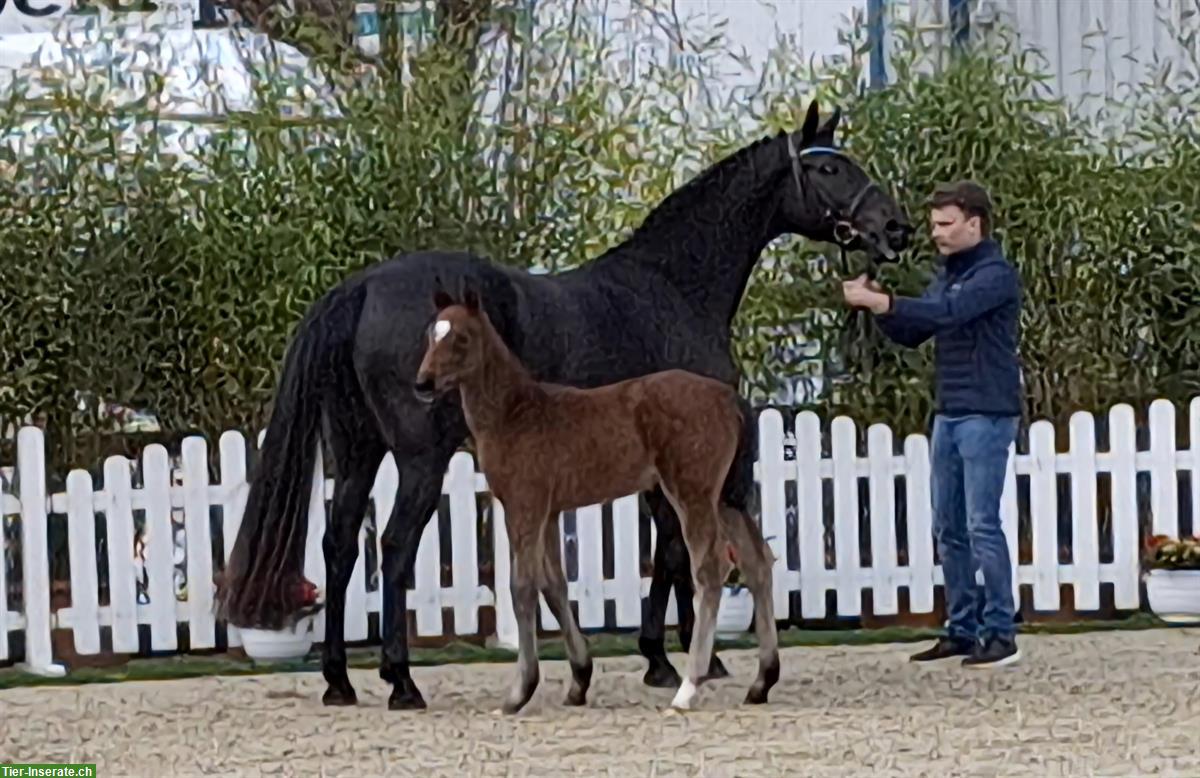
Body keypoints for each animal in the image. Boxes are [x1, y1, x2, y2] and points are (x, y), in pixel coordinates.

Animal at [417, 285, 782, 710]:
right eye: (431, 334)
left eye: (460, 337)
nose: (423, 383)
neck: (516, 413)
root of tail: (729, 397)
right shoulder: (550, 512)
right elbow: (554, 586)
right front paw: (578, 681)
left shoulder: (524, 506)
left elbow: (521, 588)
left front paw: (519, 693)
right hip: (726, 499)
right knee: (757, 563)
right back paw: (761, 683)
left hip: (693, 493)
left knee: (710, 568)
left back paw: (688, 688)